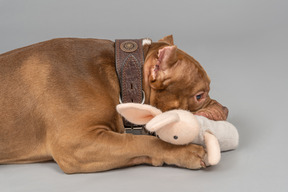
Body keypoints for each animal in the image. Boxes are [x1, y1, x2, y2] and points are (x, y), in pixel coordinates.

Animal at [0, 35, 230, 173]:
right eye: (199, 96)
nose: (226, 110)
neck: (123, 76)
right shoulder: (76, 144)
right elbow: (141, 142)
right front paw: (186, 151)